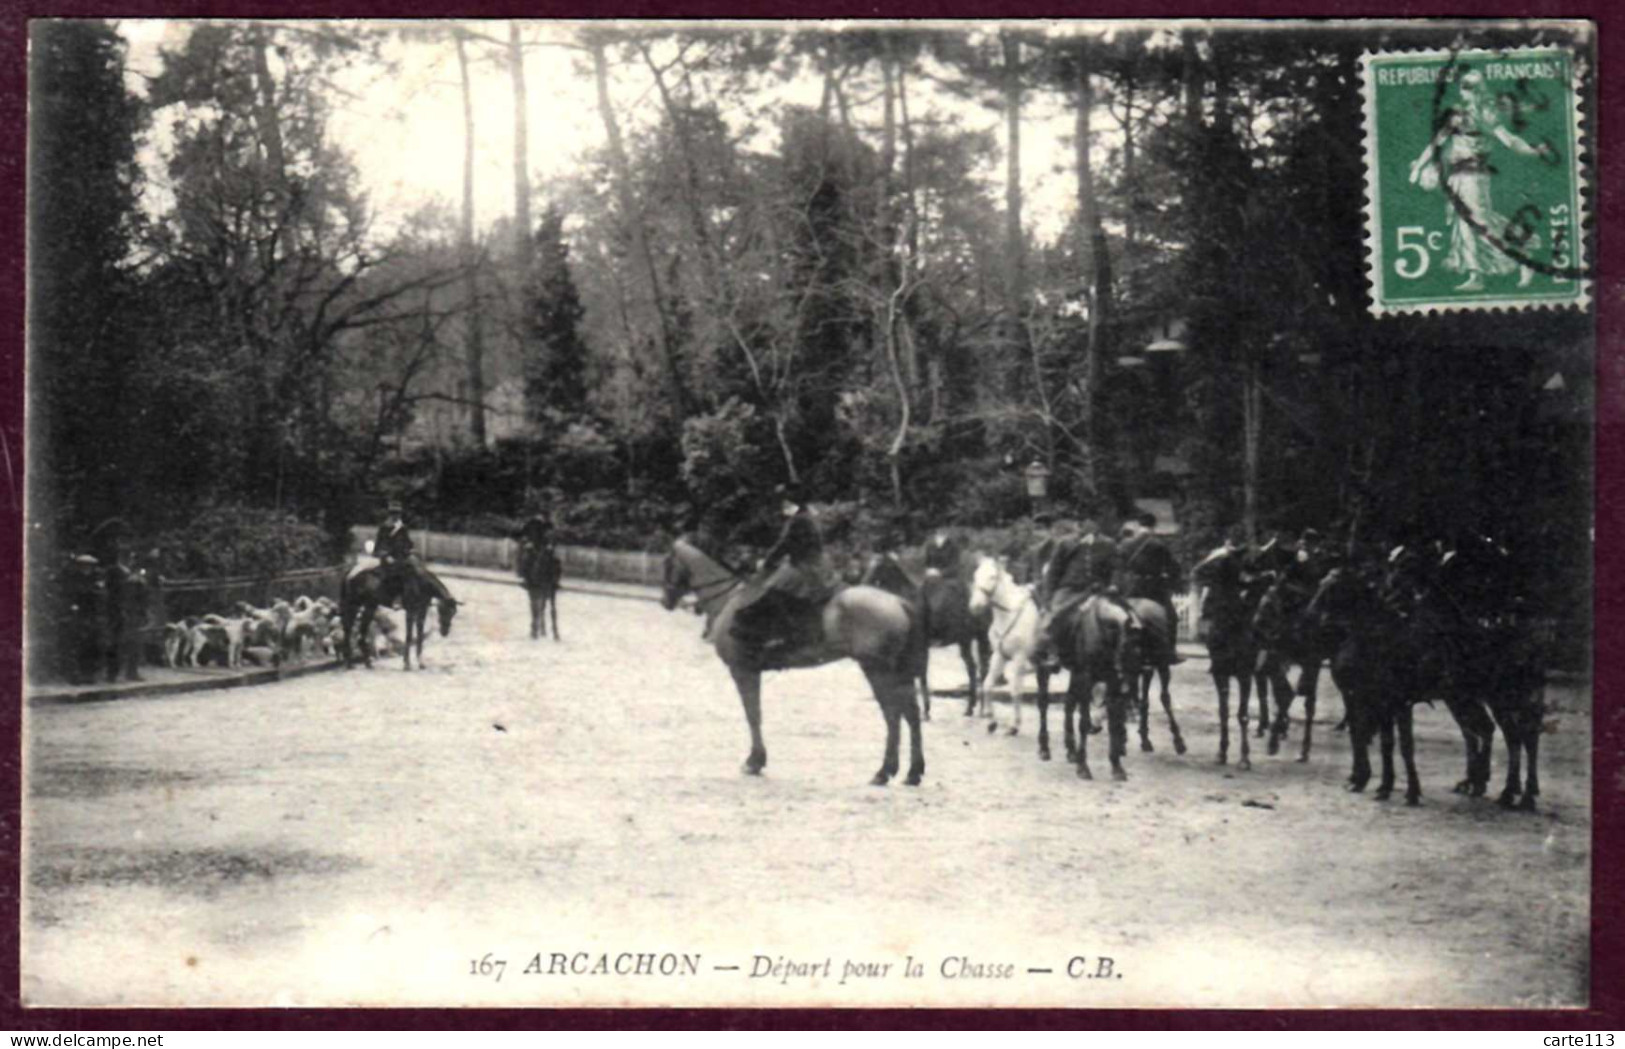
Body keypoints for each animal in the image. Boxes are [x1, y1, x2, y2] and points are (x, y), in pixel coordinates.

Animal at [659, 542, 929, 789]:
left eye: (668, 564)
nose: (665, 601)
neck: (730, 600)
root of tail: (899, 602)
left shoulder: (743, 671)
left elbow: (753, 715)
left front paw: (754, 761)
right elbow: (755, 714)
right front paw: (756, 761)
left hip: (876, 670)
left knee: (893, 715)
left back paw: (884, 772)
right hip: (896, 673)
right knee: (911, 715)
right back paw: (912, 773)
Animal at [968, 558, 1046, 740]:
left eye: (992, 576)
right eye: (975, 575)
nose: (975, 606)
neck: (1008, 614)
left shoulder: (1019, 657)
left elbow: (1015, 690)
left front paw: (1014, 726)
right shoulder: (999, 656)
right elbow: (987, 685)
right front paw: (991, 722)